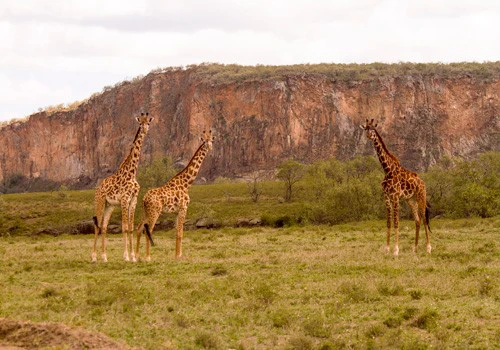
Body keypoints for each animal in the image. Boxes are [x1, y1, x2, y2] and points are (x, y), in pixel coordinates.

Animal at [92, 112, 154, 262]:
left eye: (148, 123)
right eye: (140, 123)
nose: (145, 130)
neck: (132, 173)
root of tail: (97, 189)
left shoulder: (133, 200)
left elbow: (130, 227)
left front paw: (133, 257)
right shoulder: (125, 199)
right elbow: (124, 227)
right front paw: (126, 256)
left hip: (109, 206)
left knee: (104, 227)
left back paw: (104, 257)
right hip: (100, 202)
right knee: (97, 226)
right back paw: (94, 257)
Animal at [135, 130, 215, 262]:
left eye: (212, 140)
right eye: (207, 142)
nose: (211, 149)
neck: (186, 183)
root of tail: (144, 199)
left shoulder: (177, 211)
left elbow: (177, 232)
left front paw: (177, 255)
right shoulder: (184, 208)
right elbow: (180, 233)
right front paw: (179, 256)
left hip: (145, 212)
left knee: (139, 228)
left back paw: (136, 256)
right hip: (155, 212)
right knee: (148, 231)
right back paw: (147, 257)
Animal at [360, 119, 430, 256]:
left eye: (373, 129)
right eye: (366, 128)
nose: (369, 136)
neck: (388, 170)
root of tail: (422, 182)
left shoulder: (396, 197)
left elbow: (397, 222)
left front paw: (396, 250)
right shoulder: (387, 197)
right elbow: (389, 222)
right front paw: (387, 249)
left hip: (421, 196)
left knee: (424, 218)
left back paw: (428, 248)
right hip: (410, 199)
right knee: (417, 220)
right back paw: (415, 248)